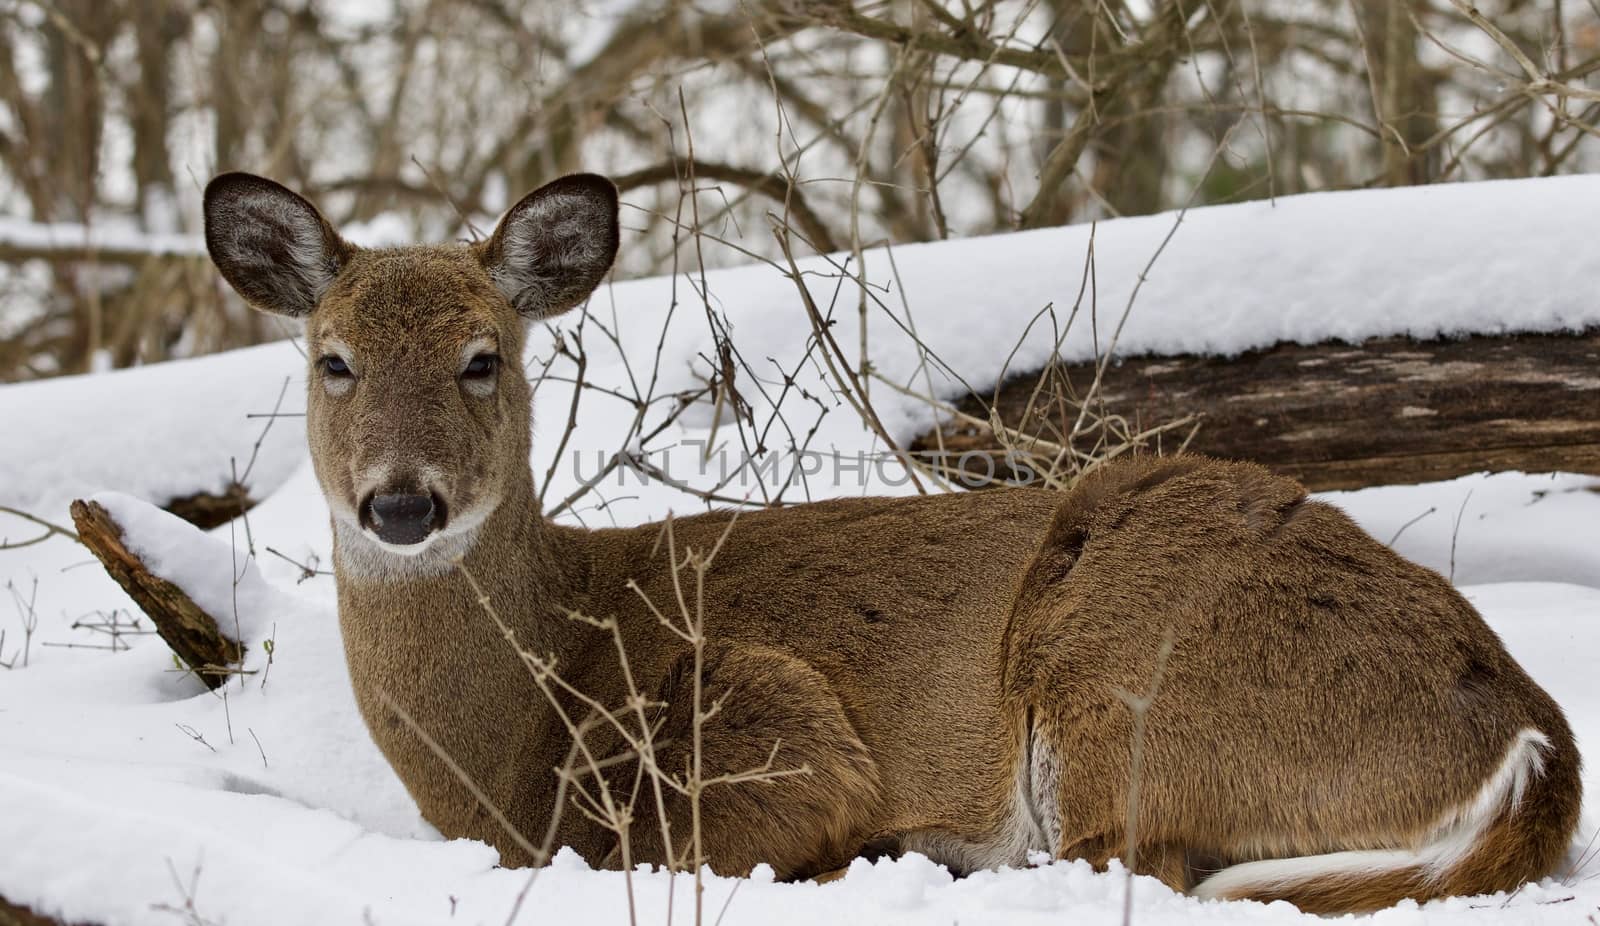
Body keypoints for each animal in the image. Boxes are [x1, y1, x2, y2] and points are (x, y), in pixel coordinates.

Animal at [203, 170, 1587, 914]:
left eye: (483, 357)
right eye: (333, 360)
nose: (401, 504)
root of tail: (1531, 733)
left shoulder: (771, 718)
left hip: (1122, 678)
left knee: (1131, 863)